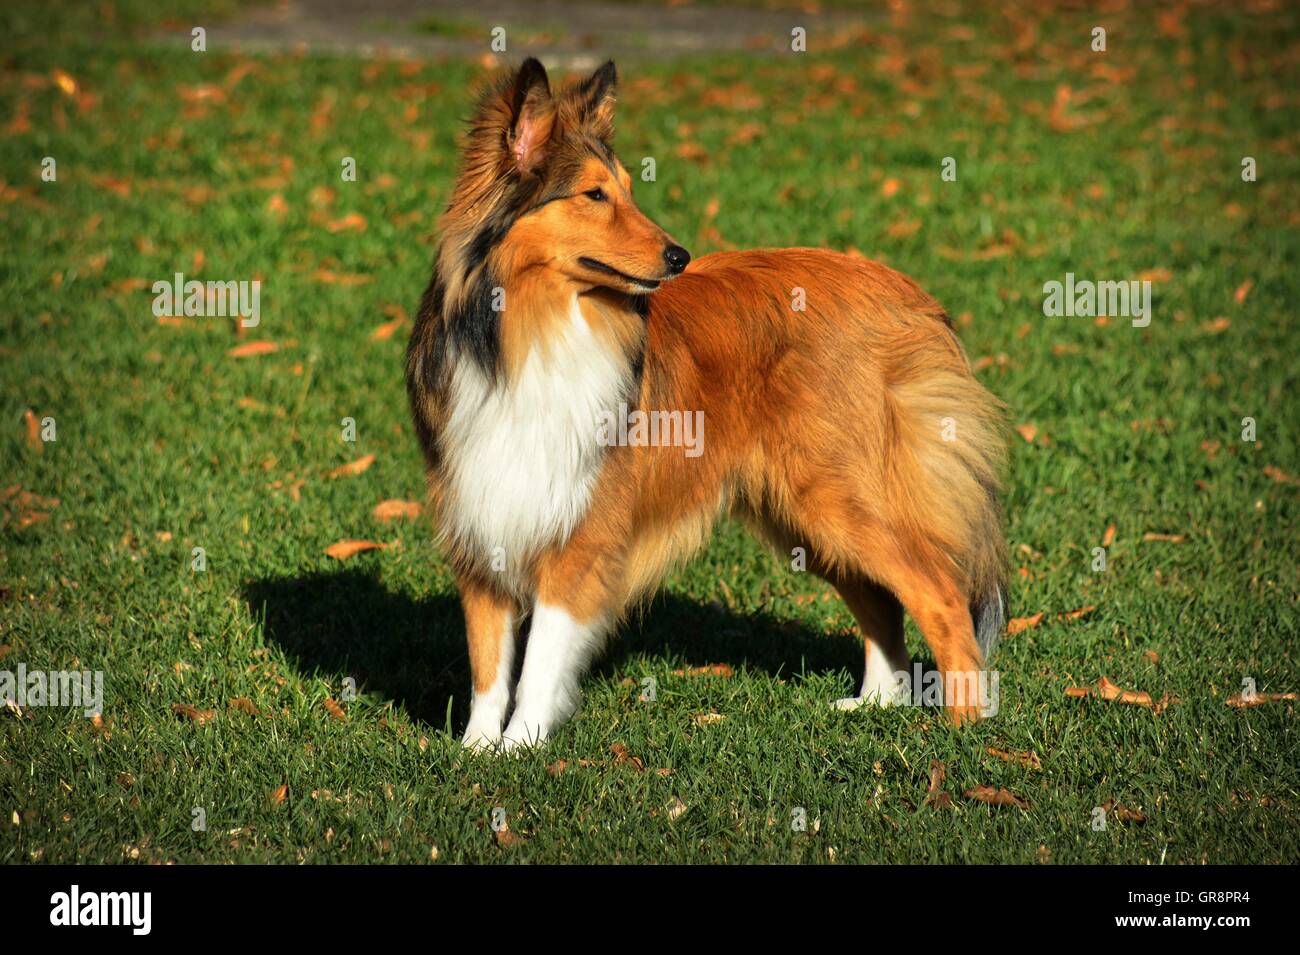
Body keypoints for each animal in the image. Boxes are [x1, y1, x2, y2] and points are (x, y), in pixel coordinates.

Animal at [405, 57, 1003, 753]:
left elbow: (539, 661)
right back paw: (875, 704)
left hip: (840, 497)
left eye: (627, 189)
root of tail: (901, 290)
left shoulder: (581, 532)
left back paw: (966, 729)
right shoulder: (482, 518)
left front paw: (521, 746)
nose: (679, 256)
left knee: (940, 593)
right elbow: (488, 661)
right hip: (803, 512)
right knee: (880, 601)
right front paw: (476, 751)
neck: (531, 330)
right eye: (594, 195)